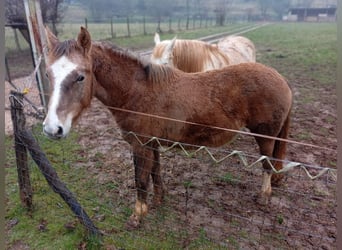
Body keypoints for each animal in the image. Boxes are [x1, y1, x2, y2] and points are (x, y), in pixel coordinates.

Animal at [42, 26, 292, 229]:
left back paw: (264, 195)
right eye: (48, 74)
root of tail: (281, 79)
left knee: (268, 163)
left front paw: (137, 216)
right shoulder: (152, 144)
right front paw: (159, 199)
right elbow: (155, 171)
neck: (137, 93)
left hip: (265, 136)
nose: (52, 129)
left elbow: (140, 180)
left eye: (80, 77)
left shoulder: (140, 145)